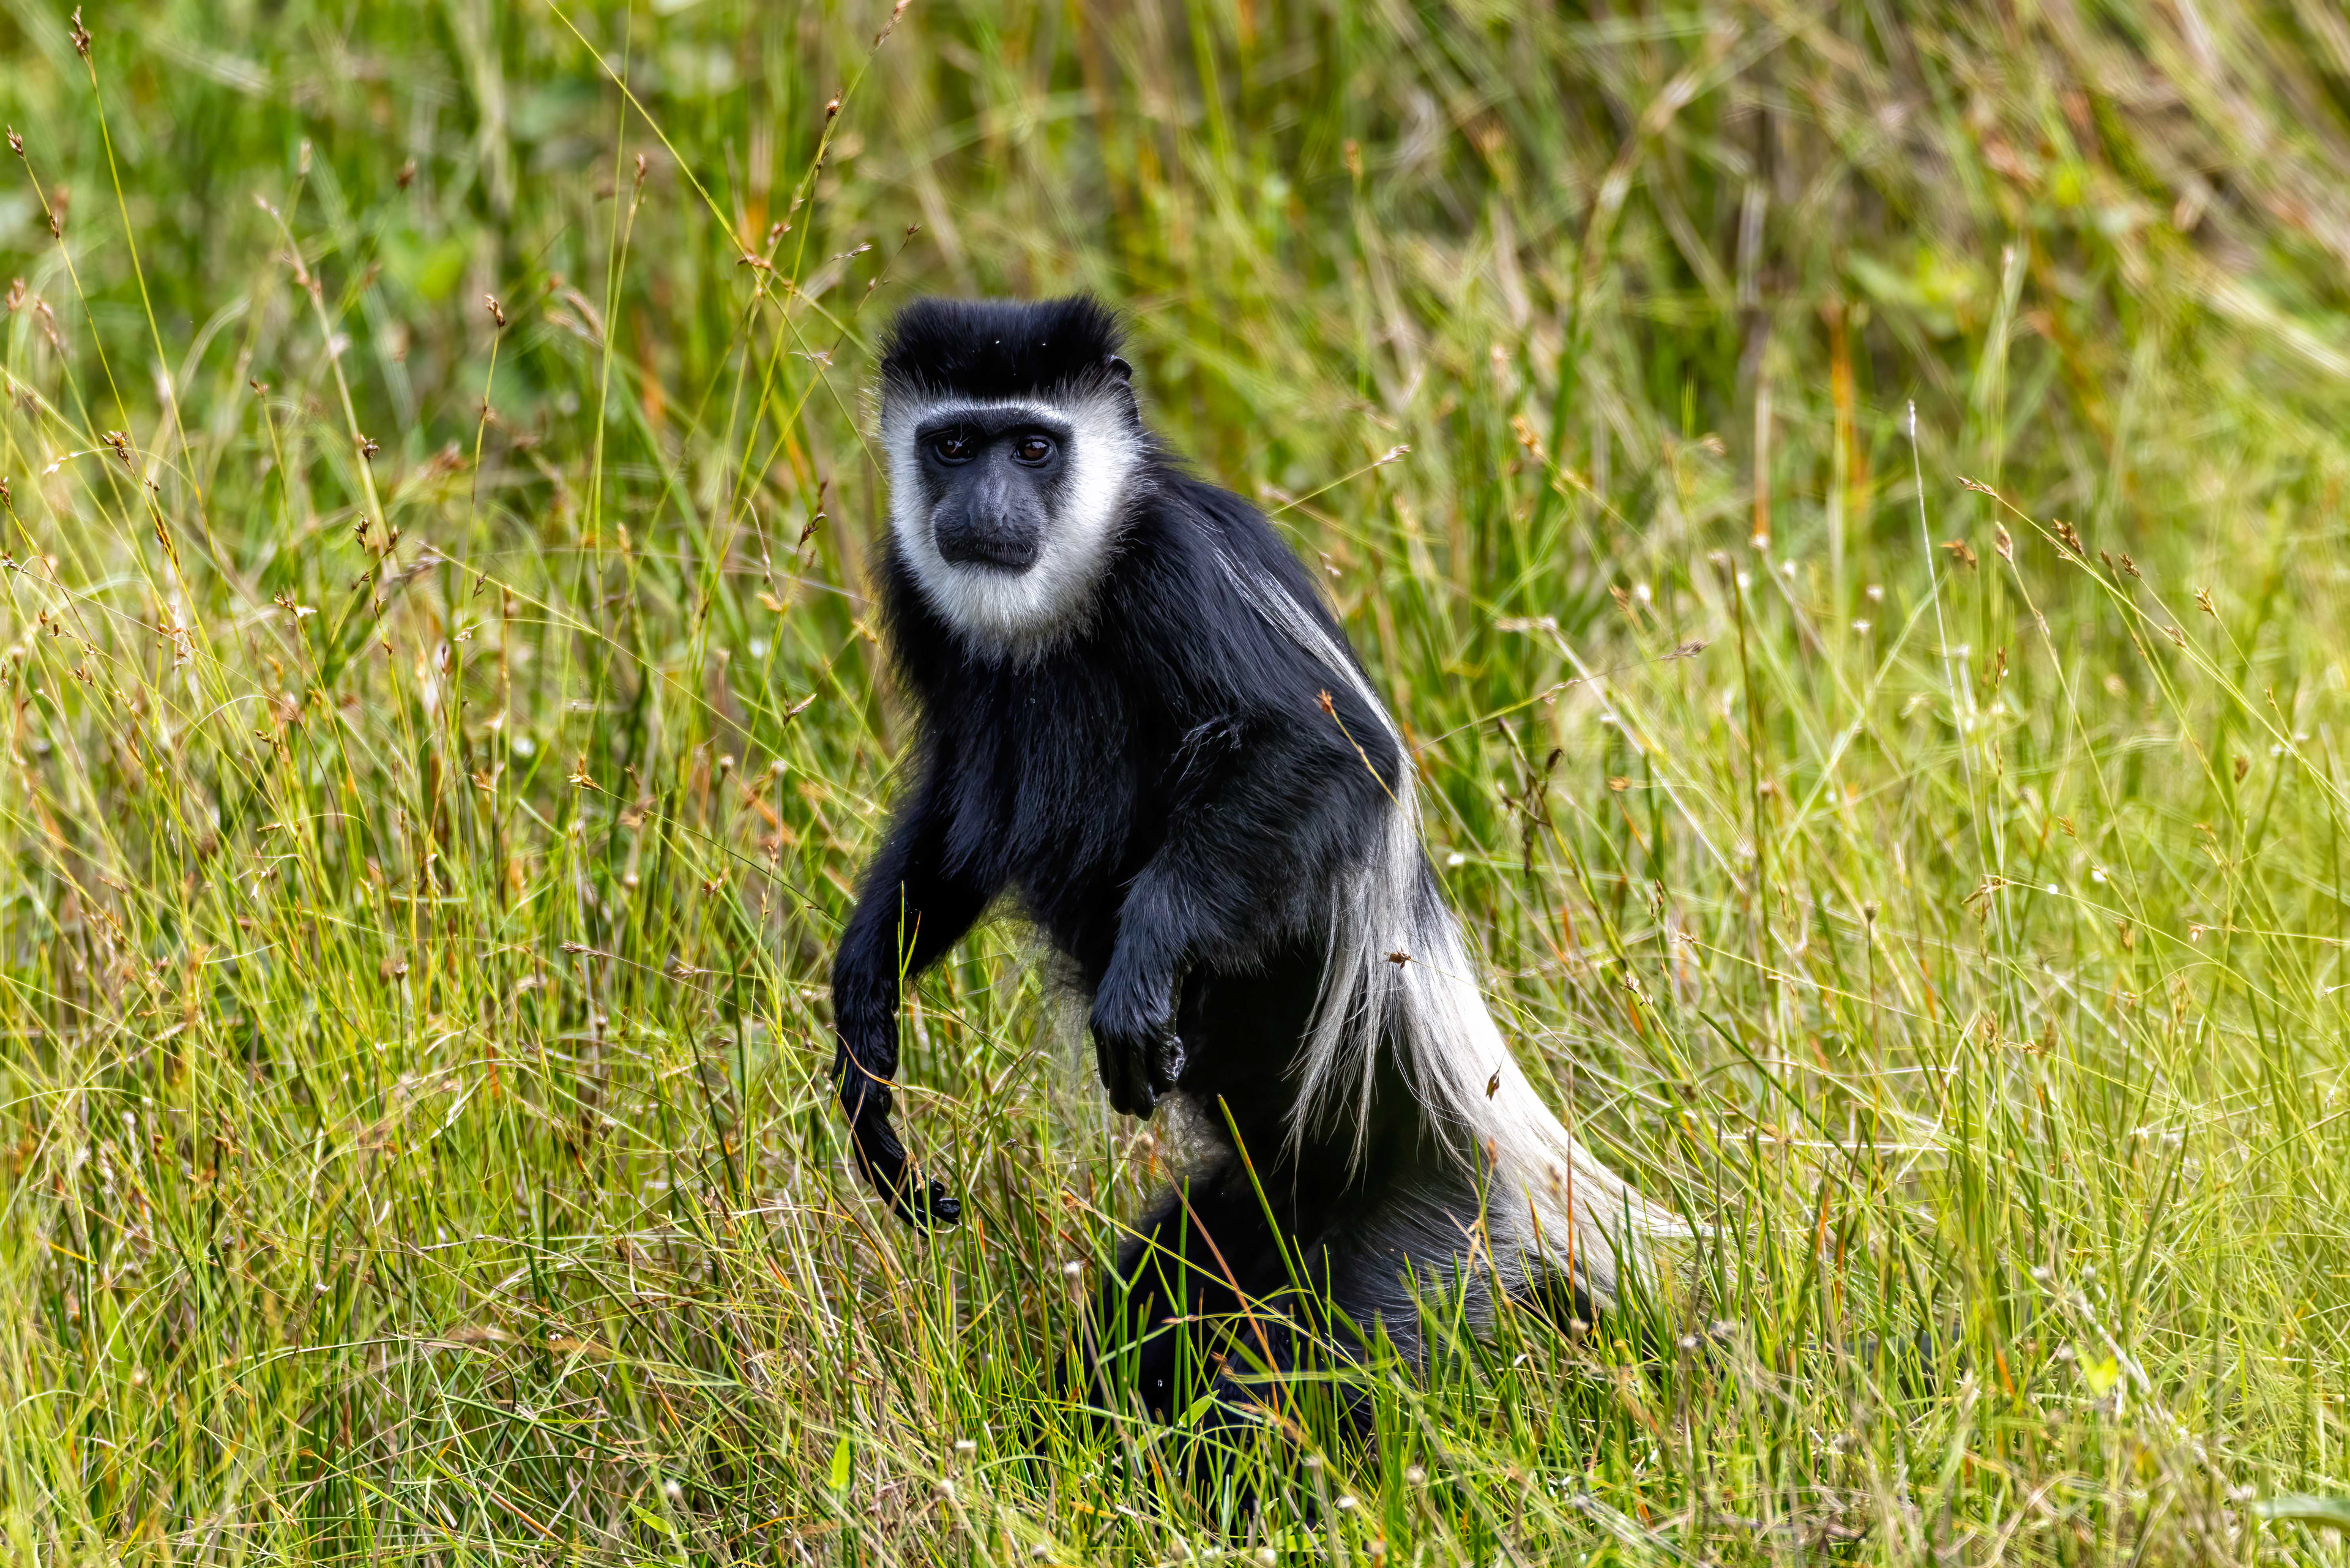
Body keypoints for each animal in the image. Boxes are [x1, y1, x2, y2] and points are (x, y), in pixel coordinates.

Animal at [829, 295, 1684, 1443]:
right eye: (954, 444)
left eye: (1035, 447)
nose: (986, 506)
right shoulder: (922, 605)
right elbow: (955, 819)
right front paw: (864, 1028)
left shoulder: (1176, 567)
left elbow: (1325, 754)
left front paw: (1140, 977)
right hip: (1258, 1208)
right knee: (1162, 1301)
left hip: (1436, 1224)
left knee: (1328, 1366)